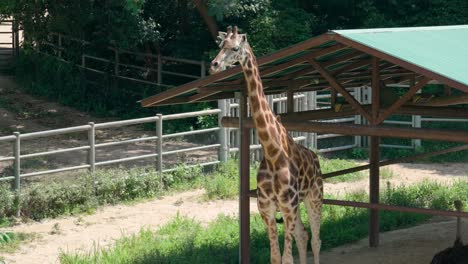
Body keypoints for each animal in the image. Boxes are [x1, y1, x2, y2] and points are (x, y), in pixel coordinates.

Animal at [211, 26, 324, 264]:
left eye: (235, 48)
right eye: (221, 45)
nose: (214, 65)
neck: (272, 152)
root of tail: (315, 157)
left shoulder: (288, 207)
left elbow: (287, 258)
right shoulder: (266, 209)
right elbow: (275, 257)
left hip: (314, 198)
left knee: (316, 239)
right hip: (297, 206)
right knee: (303, 236)